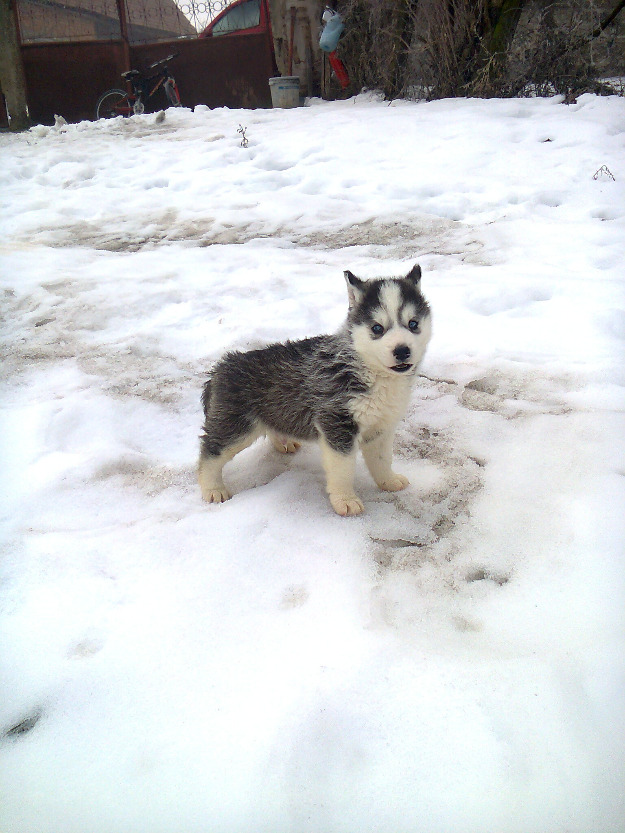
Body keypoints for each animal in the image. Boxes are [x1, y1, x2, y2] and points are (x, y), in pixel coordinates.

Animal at [199, 264, 428, 512]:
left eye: (413, 324)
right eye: (377, 328)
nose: (402, 351)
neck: (371, 370)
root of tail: (222, 367)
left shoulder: (381, 427)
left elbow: (382, 459)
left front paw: (388, 480)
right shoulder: (336, 423)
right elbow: (343, 468)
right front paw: (345, 500)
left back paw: (283, 441)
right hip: (237, 426)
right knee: (209, 453)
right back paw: (212, 488)